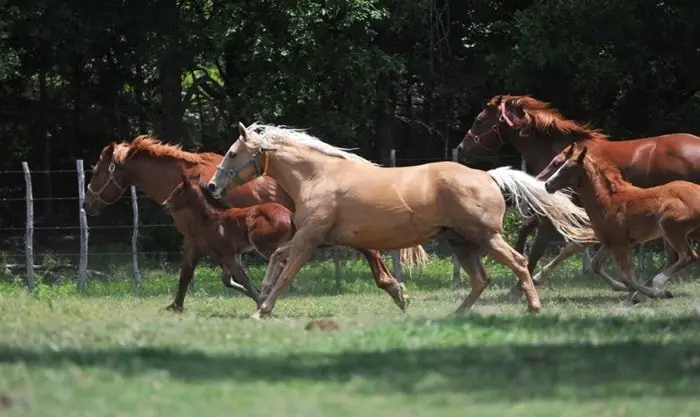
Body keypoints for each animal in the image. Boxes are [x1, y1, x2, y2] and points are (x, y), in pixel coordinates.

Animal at [161, 171, 296, 304]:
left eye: (178, 190)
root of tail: (290, 215)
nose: (164, 205)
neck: (213, 217)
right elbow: (228, 280)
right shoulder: (232, 254)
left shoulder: (228, 254)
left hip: (264, 246)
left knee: (281, 263)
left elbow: (243, 279)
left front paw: (260, 301)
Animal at [205, 122, 592, 316]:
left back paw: (534, 307)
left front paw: (262, 308)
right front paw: (261, 299)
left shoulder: (309, 240)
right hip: (460, 242)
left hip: (485, 237)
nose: (212, 186)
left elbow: (286, 271)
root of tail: (490, 176)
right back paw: (453, 315)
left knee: (518, 262)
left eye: (233, 153)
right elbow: (277, 259)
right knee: (481, 278)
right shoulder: (314, 239)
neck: (318, 176)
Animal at [456, 94, 700, 296]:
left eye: (479, 120)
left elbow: (542, 246)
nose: (461, 148)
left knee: (678, 255)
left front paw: (519, 287)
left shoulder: (555, 212)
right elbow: (538, 233)